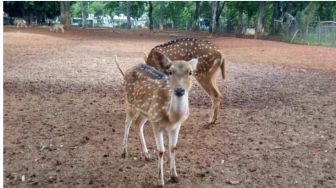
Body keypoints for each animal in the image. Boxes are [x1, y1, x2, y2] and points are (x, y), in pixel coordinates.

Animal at [115, 51, 197, 187]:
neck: (172, 117)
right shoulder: (156, 123)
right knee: (127, 122)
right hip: (130, 102)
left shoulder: (176, 126)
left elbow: (173, 147)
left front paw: (174, 176)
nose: (179, 90)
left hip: (146, 112)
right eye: (170, 72)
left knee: (138, 124)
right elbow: (160, 151)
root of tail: (127, 71)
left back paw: (147, 155)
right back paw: (124, 152)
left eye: (190, 72)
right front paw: (160, 181)